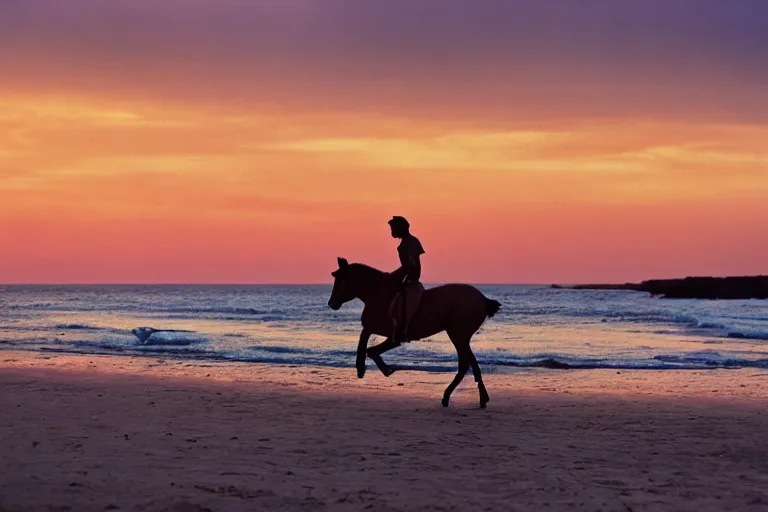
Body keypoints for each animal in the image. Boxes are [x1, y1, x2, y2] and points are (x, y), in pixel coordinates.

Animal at [326, 258, 500, 410]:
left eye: (341, 281)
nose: (331, 303)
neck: (378, 293)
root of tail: (483, 299)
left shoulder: (388, 333)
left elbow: (366, 341)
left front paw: (363, 368)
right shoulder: (390, 335)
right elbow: (370, 346)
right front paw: (382, 368)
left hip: (458, 336)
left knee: (465, 364)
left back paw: (460, 397)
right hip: (460, 337)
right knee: (468, 363)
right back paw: (472, 397)